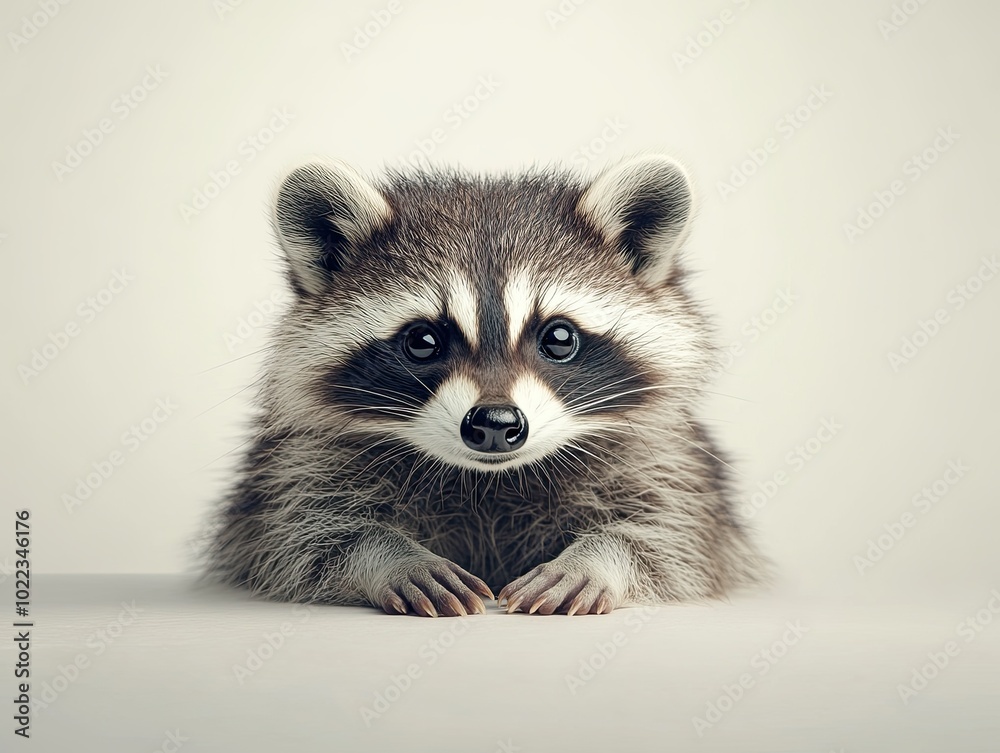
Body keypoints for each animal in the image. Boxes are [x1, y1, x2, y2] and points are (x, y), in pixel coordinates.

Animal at [206, 154, 766, 617]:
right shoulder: (299, 464)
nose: (496, 423)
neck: (490, 479)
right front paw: (388, 555)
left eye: (559, 337)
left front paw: (596, 559)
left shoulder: (665, 461)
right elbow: (304, 535)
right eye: (423, 341)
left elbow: (673, 536)